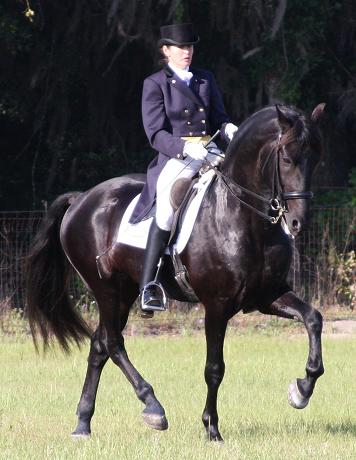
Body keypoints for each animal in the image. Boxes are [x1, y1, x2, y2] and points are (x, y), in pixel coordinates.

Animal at [25, 102, 326, 440]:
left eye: (316, 158)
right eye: (286, 158)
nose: (299, 223)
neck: (241, 216)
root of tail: (82, 199)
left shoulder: (267, 295)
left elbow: (313, 319)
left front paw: (301, 390)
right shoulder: (217, 306)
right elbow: (214, 368)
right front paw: (211, 428)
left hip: (124, 293)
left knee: (100, 346)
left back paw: (83, 423)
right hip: (107, 290)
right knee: (113, 343)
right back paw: (153, 407)